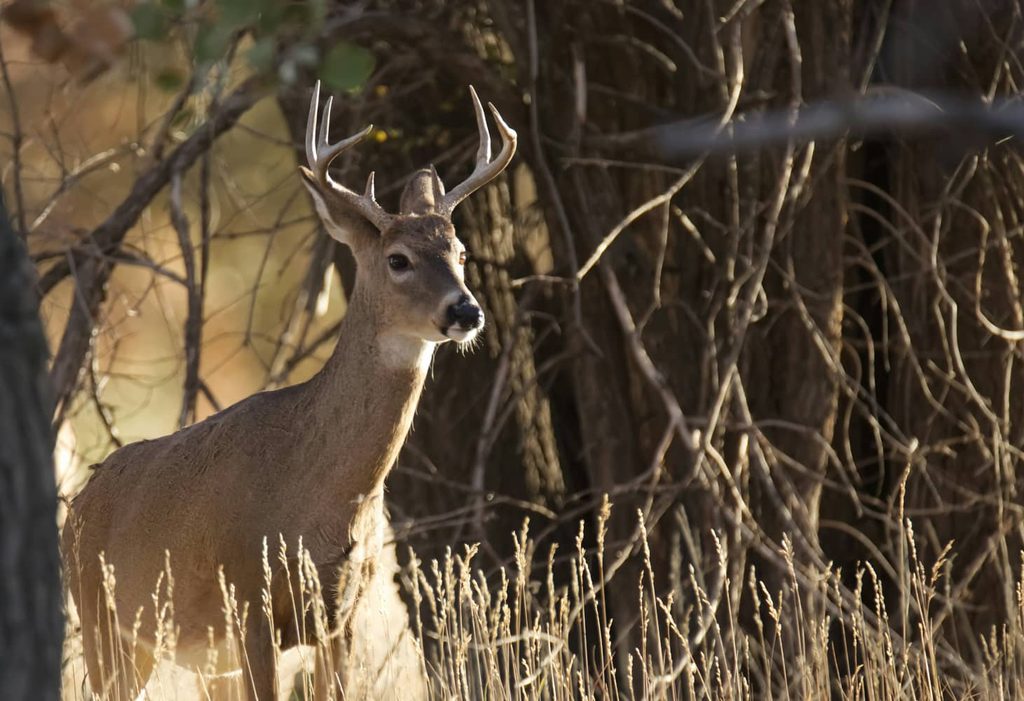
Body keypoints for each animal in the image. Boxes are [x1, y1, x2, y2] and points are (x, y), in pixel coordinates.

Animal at [63, 80, 516, 700]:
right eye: (398, 259)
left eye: (462, 253)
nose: (467, 311)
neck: (322, 497)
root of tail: (75, 507)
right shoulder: (249, 599)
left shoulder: (341, 616)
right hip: (106, 625)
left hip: (199, 659)